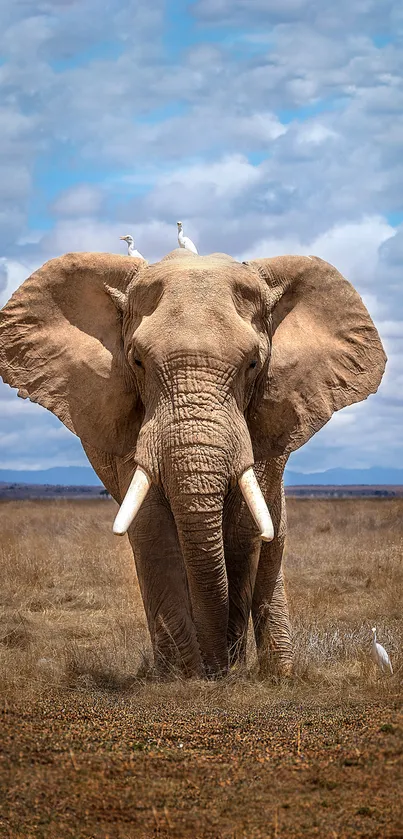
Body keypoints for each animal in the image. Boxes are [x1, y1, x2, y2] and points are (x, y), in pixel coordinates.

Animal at [0, 248, 386, 676]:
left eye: (254, 364)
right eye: (137, 362)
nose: (218, 667)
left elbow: (243, 530)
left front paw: (223, 669)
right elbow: (153, 528)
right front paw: (183, 676)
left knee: (273, 537)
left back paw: (279, 673)